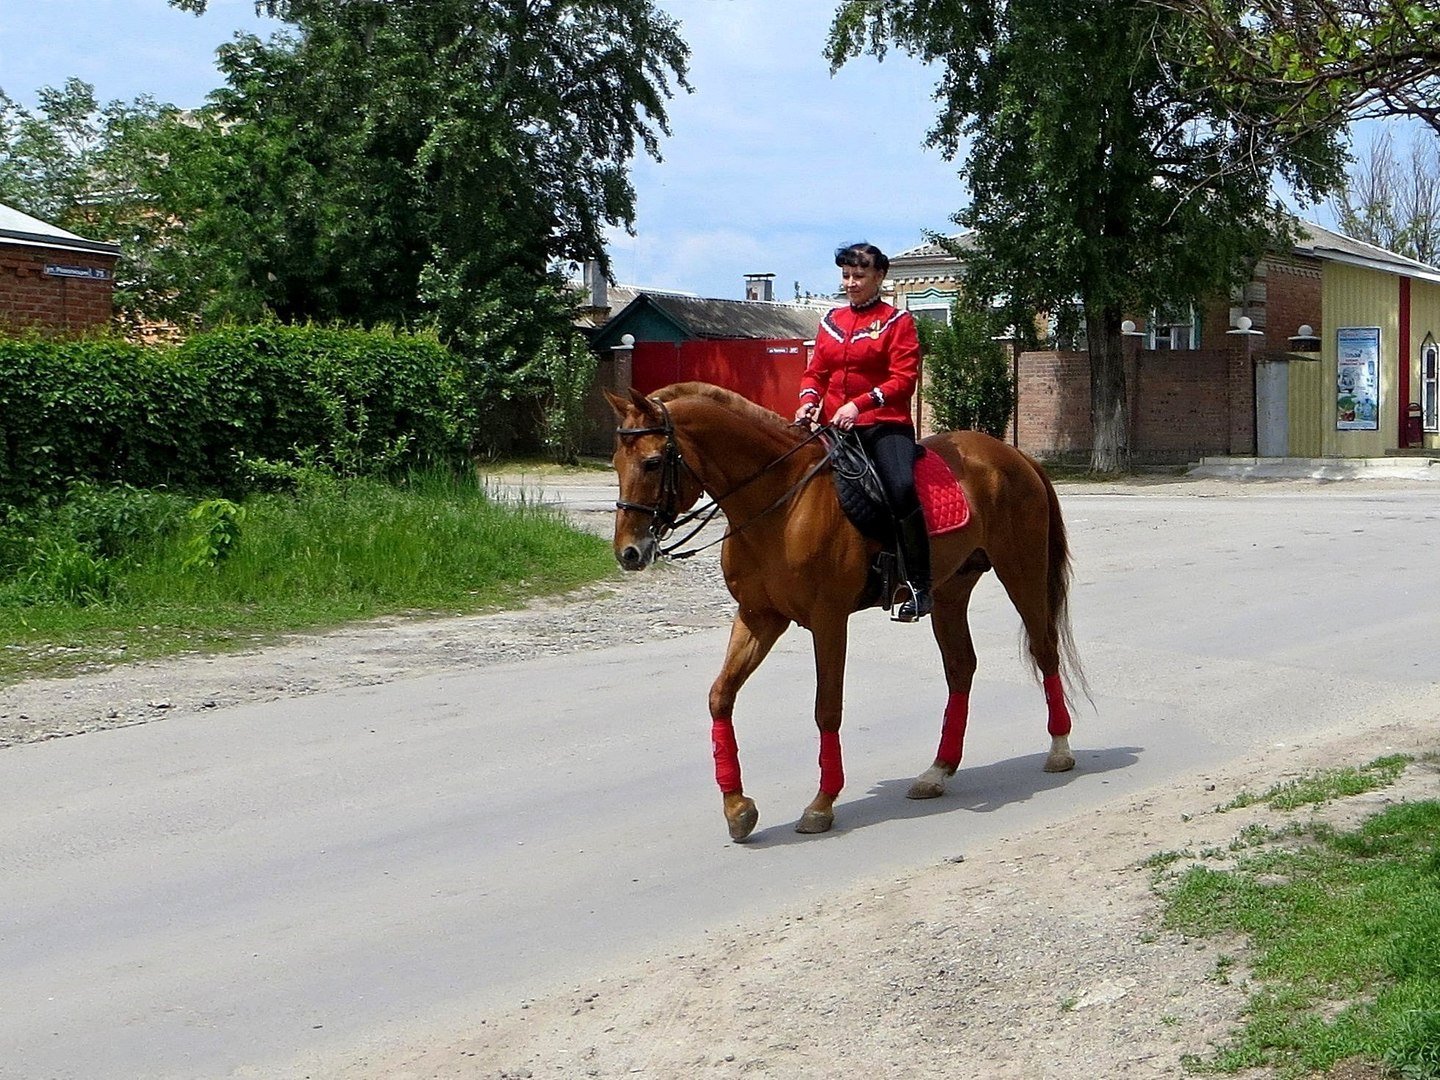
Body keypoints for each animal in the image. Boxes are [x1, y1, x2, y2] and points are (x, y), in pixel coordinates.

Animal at [601, 383, 1082, 846]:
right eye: (616, 463)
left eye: (652, 462)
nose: (628, 553)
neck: (782, 502)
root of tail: (1012, 455)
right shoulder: (758, 617)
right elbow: (721, 696)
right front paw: (737, 808)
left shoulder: (828, 619)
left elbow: (826, 708)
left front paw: (821, 804)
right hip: (949, 591)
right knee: (961, 667)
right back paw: (937, 771)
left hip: (1021, 571)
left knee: (1043, 650)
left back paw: (1059, 749)